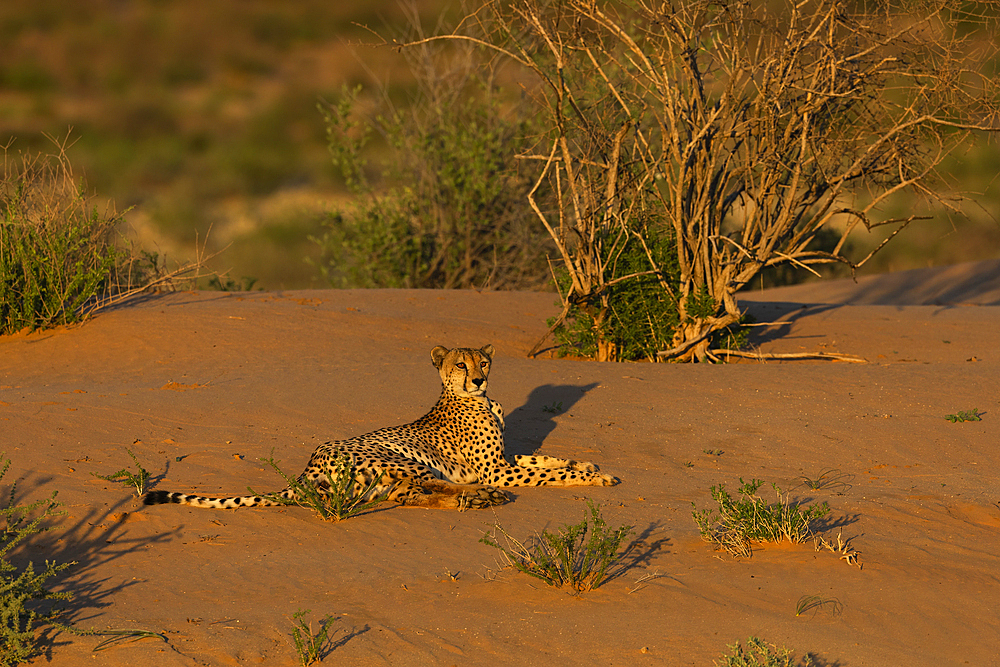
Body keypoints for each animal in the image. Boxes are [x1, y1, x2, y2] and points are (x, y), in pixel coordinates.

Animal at [145, 344, 620, 512]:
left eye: (483, 362)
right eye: (460, 365)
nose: (478, 379)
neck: (482, 399)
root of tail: (308, 465)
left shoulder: (504, 459)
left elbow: (547, 458)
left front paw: (590, 466)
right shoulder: (496, 469)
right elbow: (545, 474)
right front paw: (594, 478)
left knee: (409, 495)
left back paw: (477, 500)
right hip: (401, 461)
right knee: (424, 488)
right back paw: (483, 497)